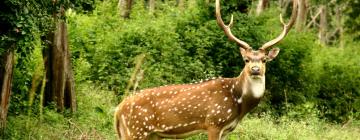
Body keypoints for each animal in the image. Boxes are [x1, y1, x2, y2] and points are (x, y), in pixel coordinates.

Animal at [114, 0, 298, 139]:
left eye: (264, 60)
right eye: (246, 59)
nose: (254, 69)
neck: (239, 104)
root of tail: (117, 111)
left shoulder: (227, 130)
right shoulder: (214, 122)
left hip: (148, 135)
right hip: (136, 130)